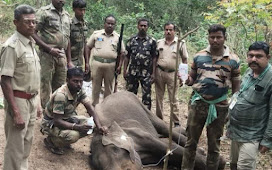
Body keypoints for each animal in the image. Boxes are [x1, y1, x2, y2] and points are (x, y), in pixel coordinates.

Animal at [89, 91, 225, 169]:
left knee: (162, 126)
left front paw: (221, 163)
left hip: (142, 105)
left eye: (115, 150)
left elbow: (163, 147)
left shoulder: (137, 133)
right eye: (99, 166)